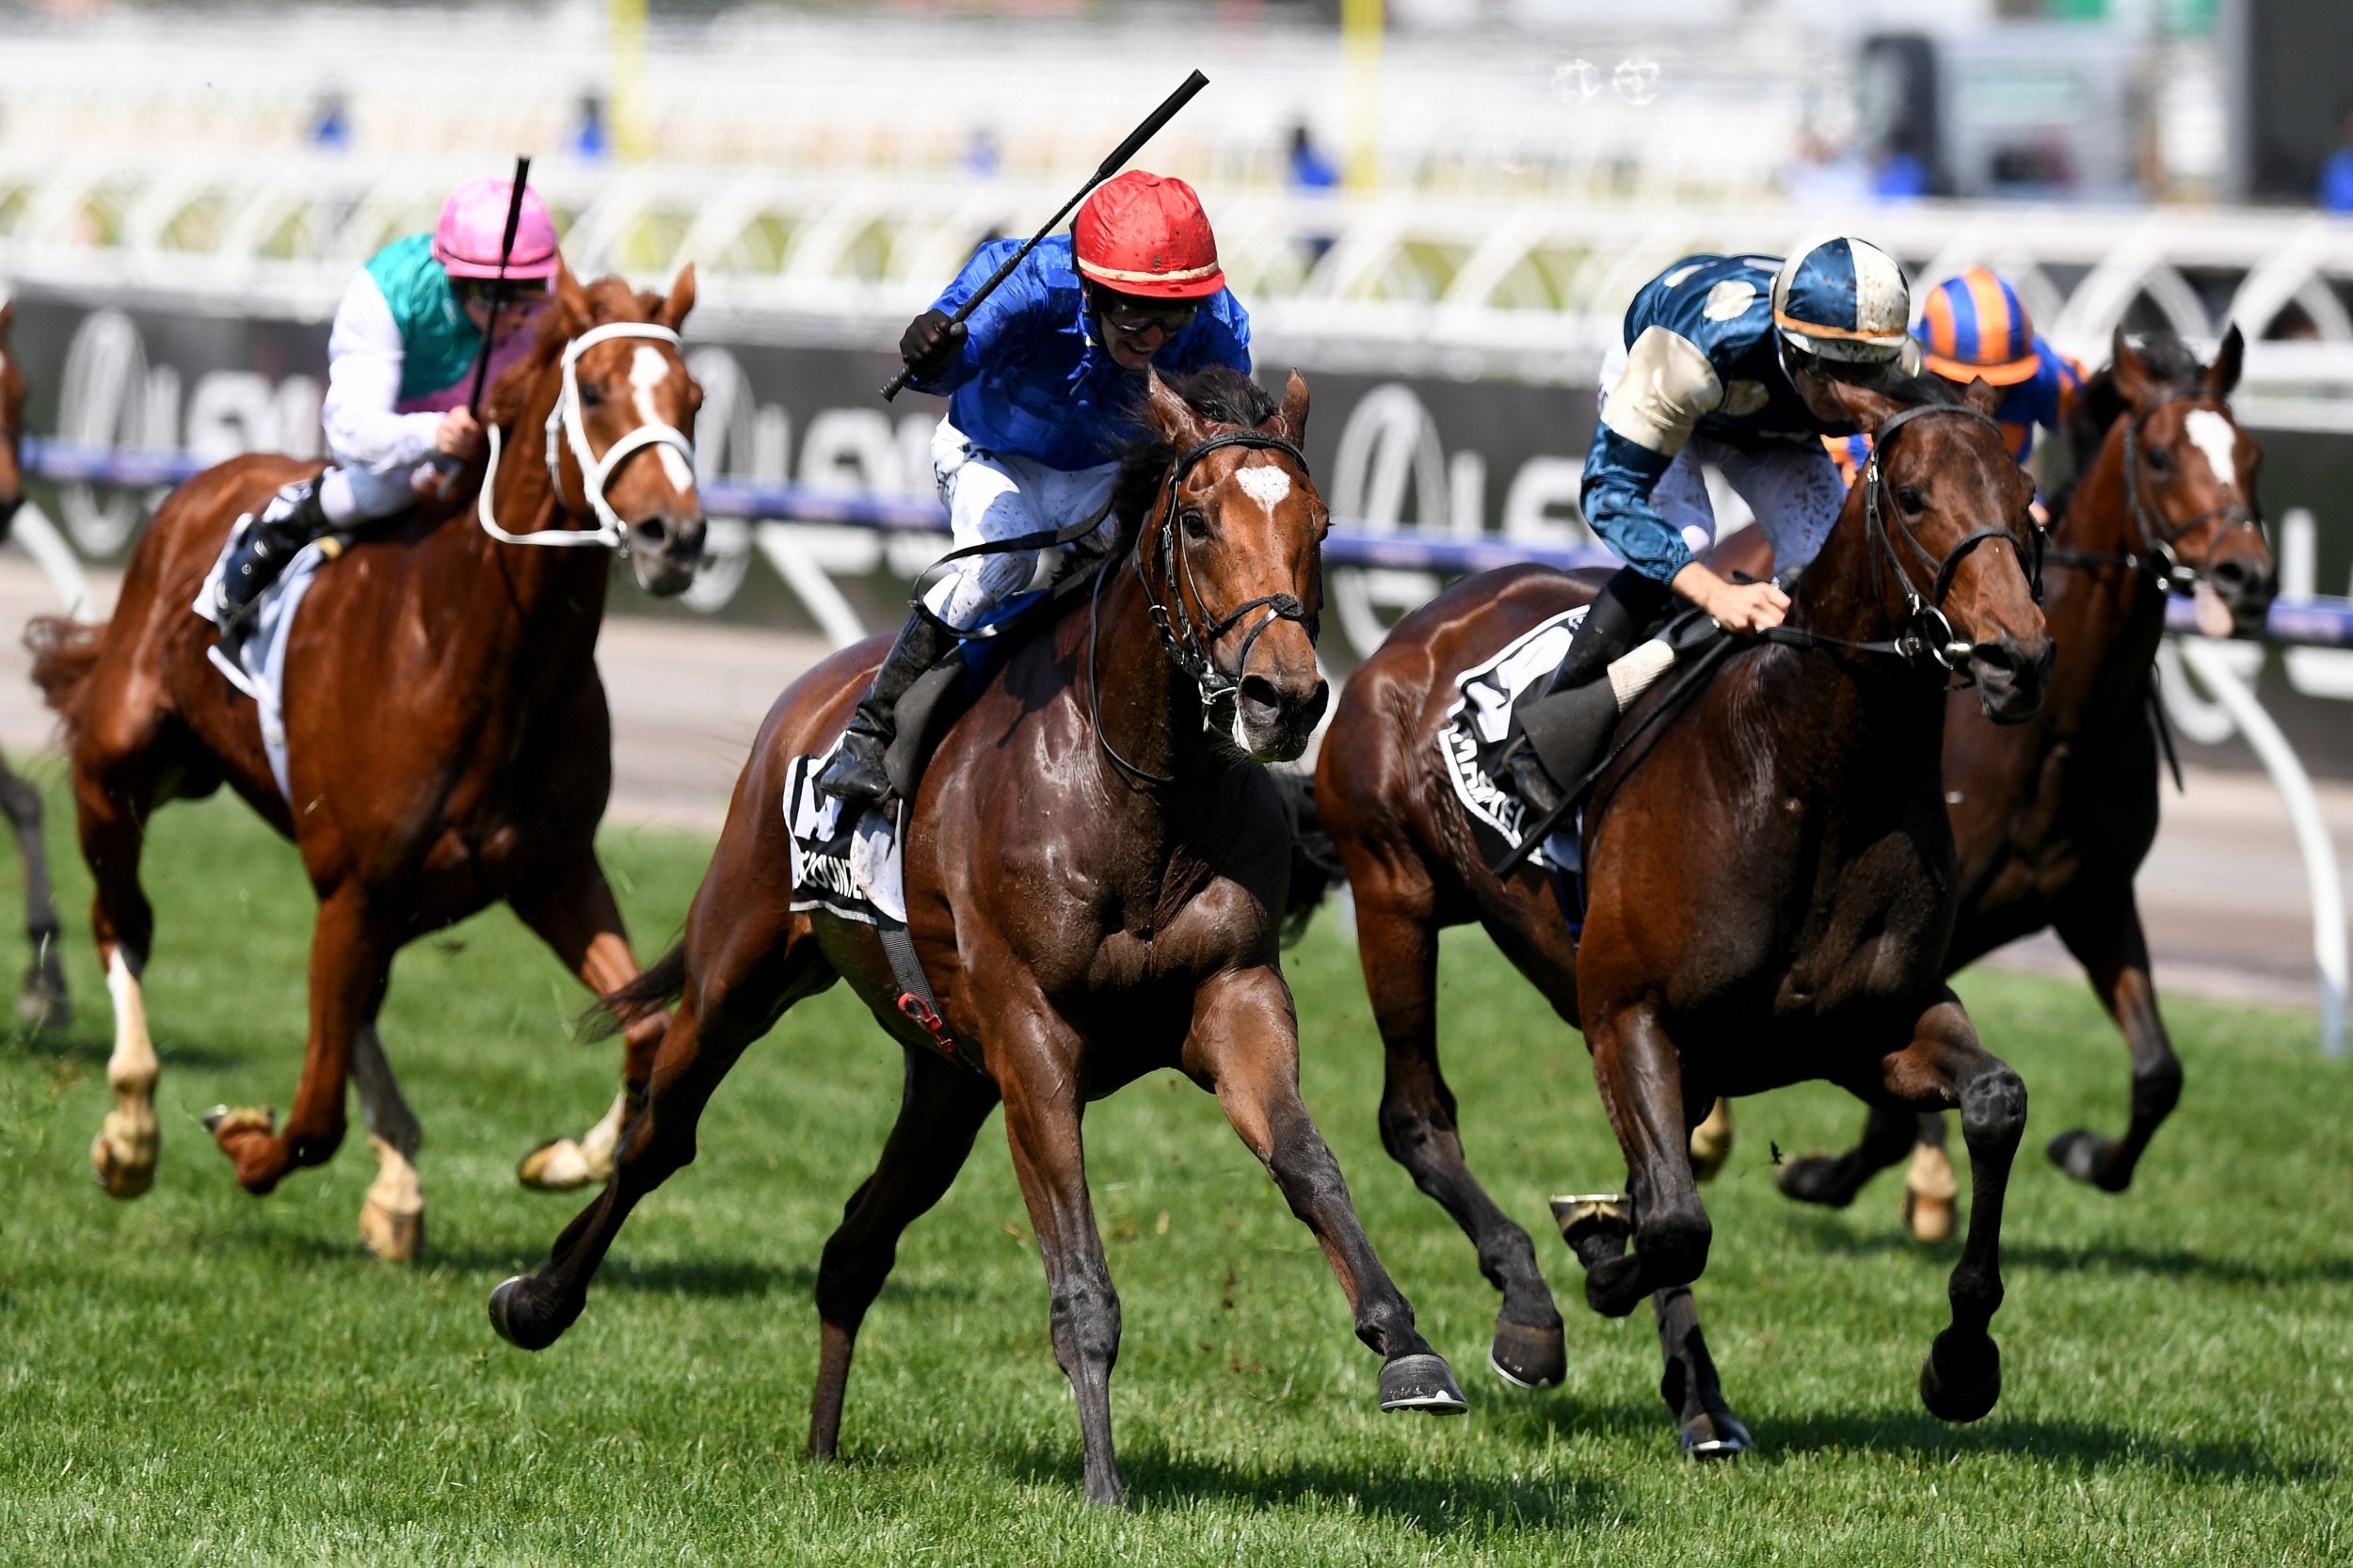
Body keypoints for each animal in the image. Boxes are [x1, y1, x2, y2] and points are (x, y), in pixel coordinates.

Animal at [27, 262, 706, 1252]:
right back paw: (131, 1129)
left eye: (694, 399)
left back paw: (397, 1179)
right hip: (119, 773)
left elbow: (646, 1028)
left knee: (356, 1006)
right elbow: (314, 1116)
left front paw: (562, 1158)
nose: (674, 537)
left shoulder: (549, 868)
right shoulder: (355, 887)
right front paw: (245, 1144)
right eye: (593, 389)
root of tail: (202, 487)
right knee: (126, 922)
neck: (473, 649)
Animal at [485, 367, 1459, 1506]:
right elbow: (1078, 1274)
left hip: (948, 1078)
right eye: (1199, 519)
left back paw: (821, 1446)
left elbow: (1308, 1161)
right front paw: (1103, 1486)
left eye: (1321, 523)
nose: (1285, 697)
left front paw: (1407, 1346)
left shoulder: (1233, 991)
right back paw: (536, 1300)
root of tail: (807, 696)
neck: (1137, 792)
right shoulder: (1032, 1032)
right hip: (742, 967)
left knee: (853, 1245)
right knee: (660, 1136)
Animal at [1318, 372, 2052, 1449]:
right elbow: (1671, 1223)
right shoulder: (1628, 1011)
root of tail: (1420, 625)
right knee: (1417, 1118)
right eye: (1914, 497)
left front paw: (1961, 1361)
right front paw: (1588, 1265)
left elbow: (1997, 1102)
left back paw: (1701, 1399)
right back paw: (1533, 1307)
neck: (1812, 776)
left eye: (2027, 495)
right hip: (1393, 894)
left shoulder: (1865, 1024)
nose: (2016, 657)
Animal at [1769, 322, 2278, 1224]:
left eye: (2250, 453)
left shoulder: (2096, 896)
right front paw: (1824, 1175)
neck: (2063, 730)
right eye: (2158, 456)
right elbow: (1889, 1107)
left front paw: (2085, 1153)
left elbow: (2159, 1074)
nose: (2245, 576)